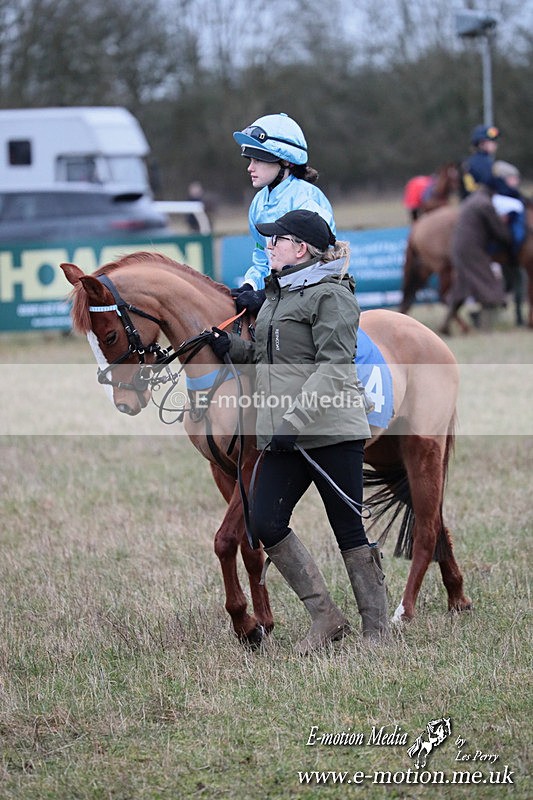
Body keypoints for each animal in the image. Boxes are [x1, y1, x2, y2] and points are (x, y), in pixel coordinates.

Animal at [60, 253, 471, 647]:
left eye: (110, 335)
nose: (124, 402)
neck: (223, 367)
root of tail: (428, 335)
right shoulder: (224, 471)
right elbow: (251, 547)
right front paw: (264, 622)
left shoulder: (252, 465)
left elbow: (226, 541)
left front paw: (244, 623)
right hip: (384, 452)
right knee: (433, 518)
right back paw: (457, 597)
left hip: (423, 449)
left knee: (426, 527)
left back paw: (404, 610)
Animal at [399, 204, 533, 331]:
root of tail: (418, 226)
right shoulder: (528, 264)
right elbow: (529, 293)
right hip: (445, 268)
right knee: (444, 296)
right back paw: (459, 326)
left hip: (426, 268)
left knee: (413, 295)